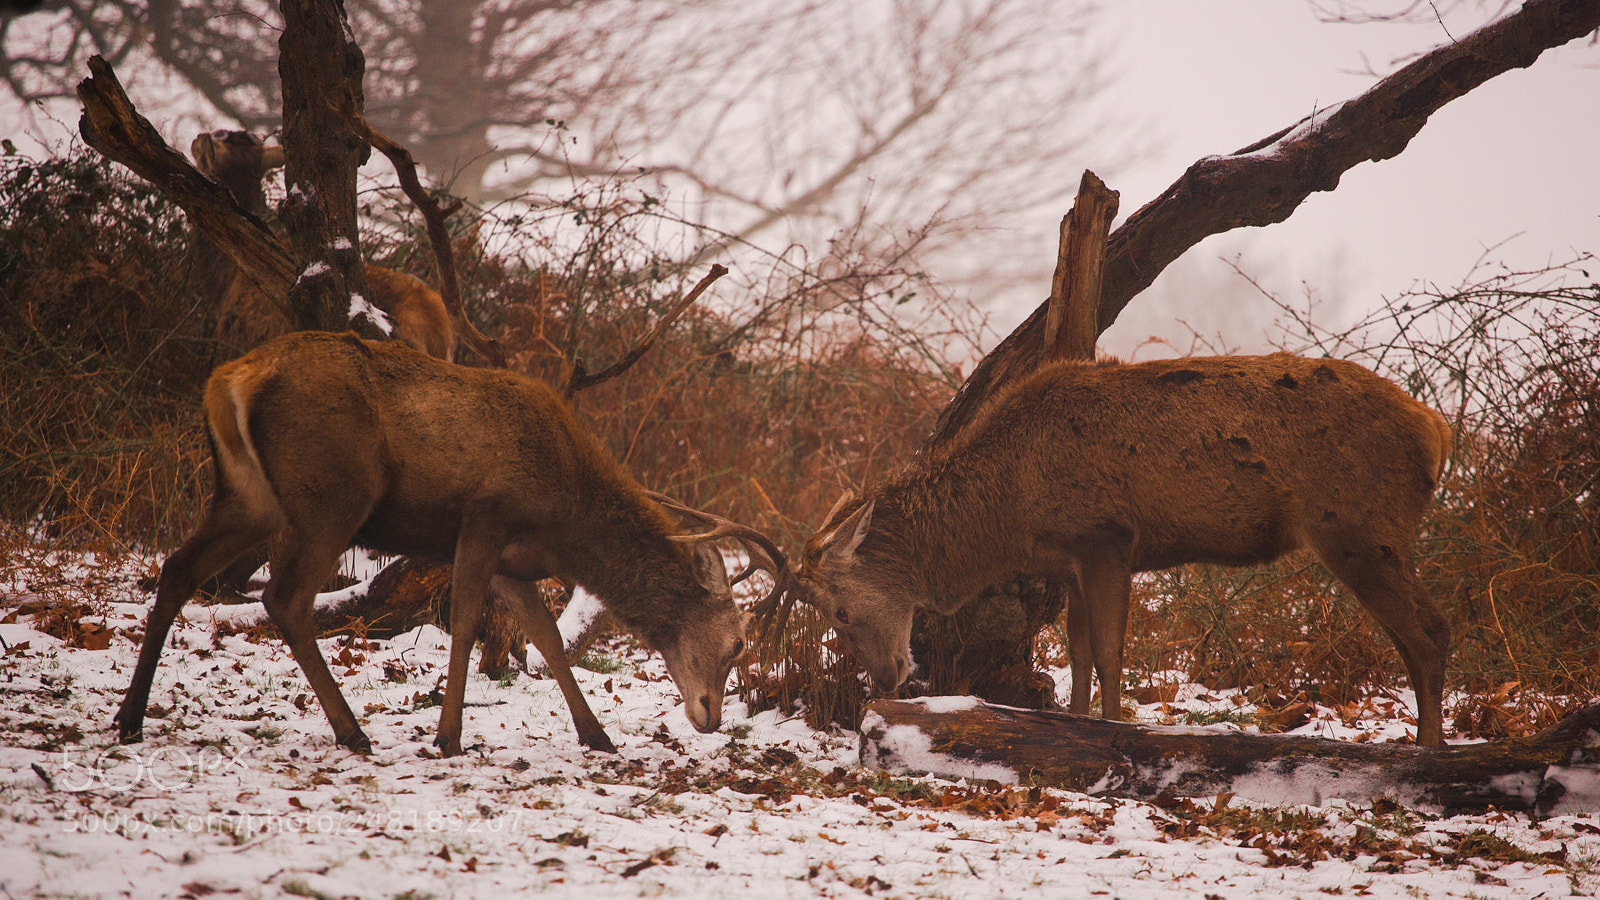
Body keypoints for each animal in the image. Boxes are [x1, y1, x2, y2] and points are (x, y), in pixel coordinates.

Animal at [113, 330, 787, 757]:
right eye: (737, 643)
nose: (709, 717)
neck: (568, 517)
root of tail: (231, 379)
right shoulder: (486, 516)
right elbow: (465, 622)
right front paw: (449, 736)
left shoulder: (514, 561)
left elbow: (545, 637)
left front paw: (596, 735)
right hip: (332, 494)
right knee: (284, 598)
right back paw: (352, 732)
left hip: (249, 495)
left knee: (178, 568)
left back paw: (129, 718)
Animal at [799, 353, 1455, 745]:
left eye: (840, 610)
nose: (885, 677)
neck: (1011, 510)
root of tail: (1437, 430)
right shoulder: (1071, 560)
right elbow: (1080, 654)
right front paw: (1076, 724)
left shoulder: (1106, 538)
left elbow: (1111, 655)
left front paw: (1113, 732)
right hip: (1369, 537)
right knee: (1412, 636)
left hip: (1357, 529)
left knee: (1429, 631)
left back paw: (1429, 753)